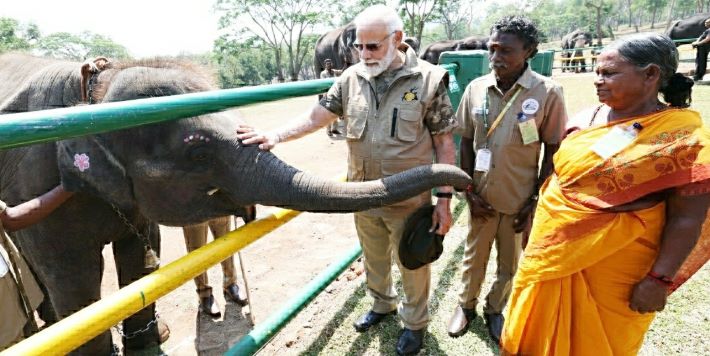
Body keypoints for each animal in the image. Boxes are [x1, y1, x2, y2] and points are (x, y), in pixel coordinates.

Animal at [1, 52, 472, 354]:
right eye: (197, 154)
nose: (463, 180)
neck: (92, 95)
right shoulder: (36, 186)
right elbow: (72, 277)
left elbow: (139, 257)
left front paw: (149, 341)